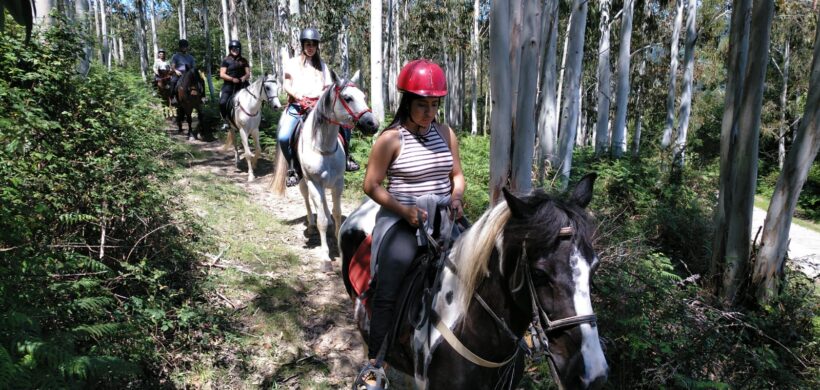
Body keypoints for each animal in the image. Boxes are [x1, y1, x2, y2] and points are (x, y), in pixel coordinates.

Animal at [272, 68, 382, 266]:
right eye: (347, 98)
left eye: (363, 96)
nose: (372, 124)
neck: (324, 147)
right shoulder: (315, 183)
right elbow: (321, 219)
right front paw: (325, 257)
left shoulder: (338, 183)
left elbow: (337, 213)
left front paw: (337, 241)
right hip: (304, 181)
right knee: (308, 200)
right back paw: (311, 225)